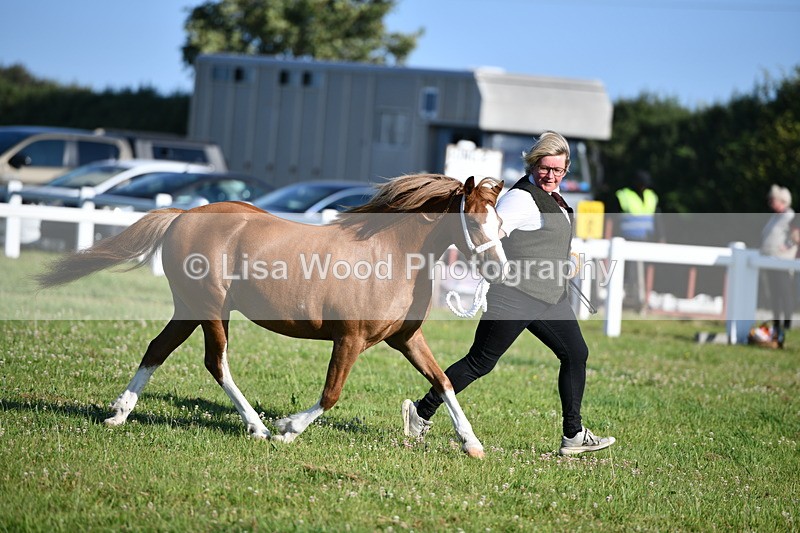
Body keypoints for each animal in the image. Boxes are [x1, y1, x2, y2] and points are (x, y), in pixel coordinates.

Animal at [36, 174, 507, 458]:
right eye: (476, 224)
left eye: (500, 224)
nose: (500, 270)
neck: (389, 255)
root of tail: (183, 216)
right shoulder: (350, 339)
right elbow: (332, 394)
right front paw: (287, 428)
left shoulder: (406, 339)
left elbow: (444, 381)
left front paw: (472, 443)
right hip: (211, 309)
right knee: (216, 362)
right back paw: (256, 427)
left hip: (190, 308)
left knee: (157, 349)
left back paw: (119, 413)